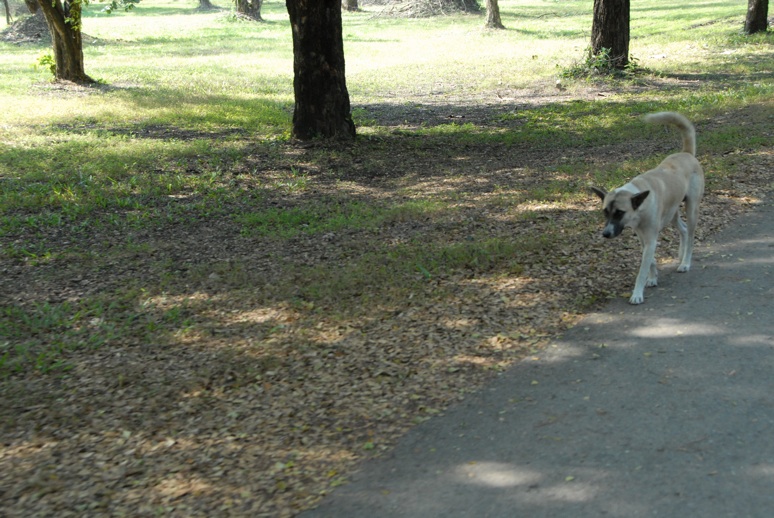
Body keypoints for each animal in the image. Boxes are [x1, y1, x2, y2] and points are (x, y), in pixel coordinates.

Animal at [596, 111, 704, 302]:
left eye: (619, 213)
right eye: (605, 212)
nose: (606, 234)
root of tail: (686, 154)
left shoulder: (651, 238)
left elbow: (642, 269)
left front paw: (637, 294)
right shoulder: (643, 237)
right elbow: (651, 260)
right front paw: (653, 278)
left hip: (691, 209)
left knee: (691, 235)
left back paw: (685, 262)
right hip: (672, 213)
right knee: (683, 229)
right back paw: (681, 253)